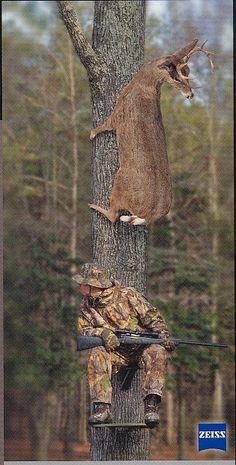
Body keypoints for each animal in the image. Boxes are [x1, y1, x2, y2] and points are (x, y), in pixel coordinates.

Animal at [89, 40, 214, 225]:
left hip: (120, 183)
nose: (190, 95)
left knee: (113, 215)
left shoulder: (118, 113)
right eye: (178, 76)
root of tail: (150, 215)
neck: (141, 84)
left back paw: (92, 205)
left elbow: (104, 126)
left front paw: (91, 133)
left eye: (187, 73)